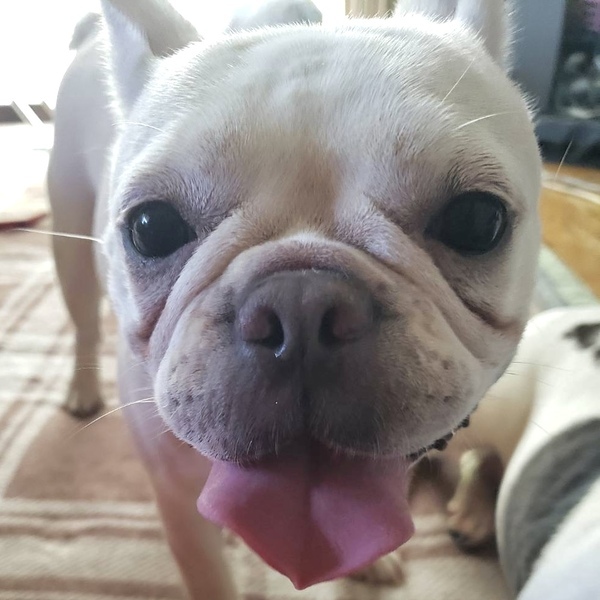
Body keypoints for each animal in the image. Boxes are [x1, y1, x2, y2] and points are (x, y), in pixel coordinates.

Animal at [47, 0, 541, 596]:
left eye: (476, 220)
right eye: (151, 227)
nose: (301, 303)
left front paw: (372, 563)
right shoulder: (179, 509)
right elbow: (209, 575)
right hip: (69, 250)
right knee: (82, 325)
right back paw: (81, 388)